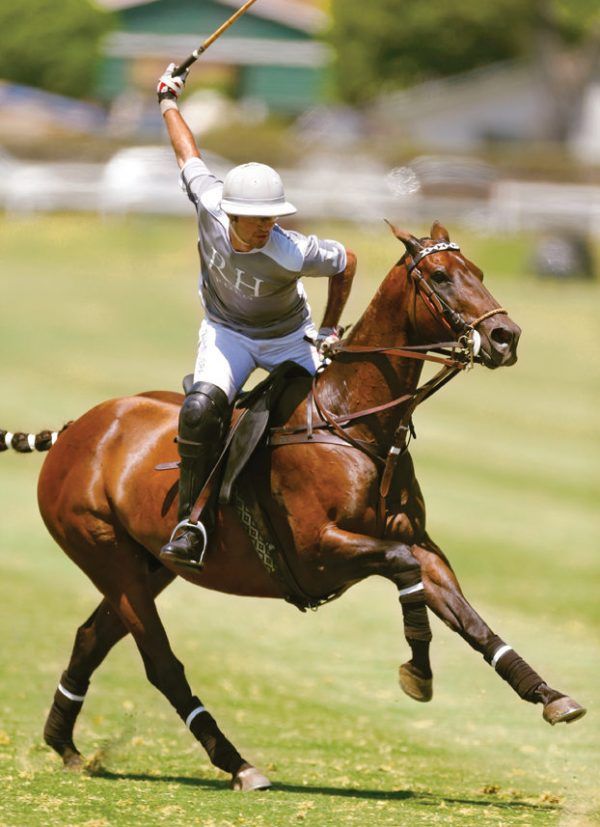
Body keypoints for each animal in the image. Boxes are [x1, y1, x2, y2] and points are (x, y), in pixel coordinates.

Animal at [3, 223, 584, 792]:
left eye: (478, 272)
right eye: (441, 276)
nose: (506, 336)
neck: (352, 424)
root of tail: (74, 429)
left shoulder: (419, 542)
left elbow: (468, 617)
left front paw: (550, 696)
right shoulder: (318, 548)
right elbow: (403, 569)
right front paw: (418, 672)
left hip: (148, 565)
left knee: (90, 638)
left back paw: (63, 742)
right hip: (107, 555)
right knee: (162, 665)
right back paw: (236, 763)